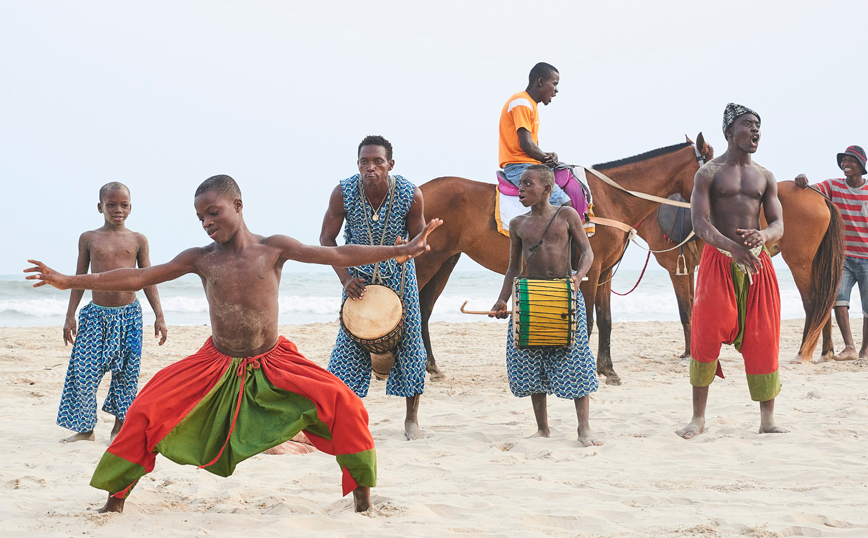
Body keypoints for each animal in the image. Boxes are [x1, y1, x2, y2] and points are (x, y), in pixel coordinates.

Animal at [416, 136, 712, 384]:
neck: (610, 198)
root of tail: (419, 190)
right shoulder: (590, 271)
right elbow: (588, 320)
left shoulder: (604, 272)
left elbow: (606, 320)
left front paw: (608, 370)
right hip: (426, 262)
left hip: (445, 263)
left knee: (424, 310)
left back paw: (432, 366)